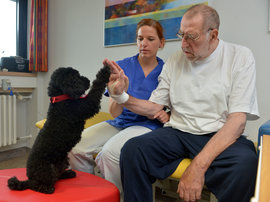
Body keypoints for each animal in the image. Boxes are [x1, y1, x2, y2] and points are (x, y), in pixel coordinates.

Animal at [7, 65, 110, 193]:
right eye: (76, 77)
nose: (87, 80)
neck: (61, 98)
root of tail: (30, 178)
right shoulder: (88, 104)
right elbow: (97, 87)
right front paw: (105, 71)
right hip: (47, 170)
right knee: (37, 185)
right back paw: (47, 188)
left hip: (62, 160)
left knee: (57, 176)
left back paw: (68, 173)